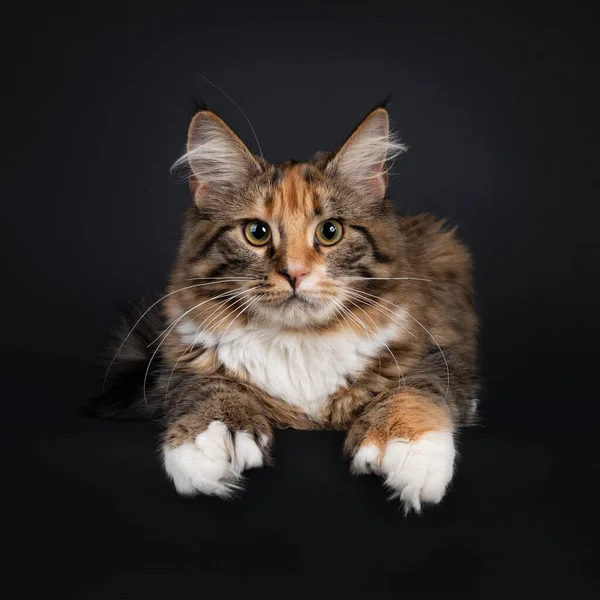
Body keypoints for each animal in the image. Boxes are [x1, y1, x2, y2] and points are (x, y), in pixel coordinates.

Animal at [86, 102, 478, 510]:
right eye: (257, 233)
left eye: (330, 231)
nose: (295, 273)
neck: (299, 340)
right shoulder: (180, 361)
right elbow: (207, 387)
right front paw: (212, 439)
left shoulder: (436, 353)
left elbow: (413, 389)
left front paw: (410, 449)